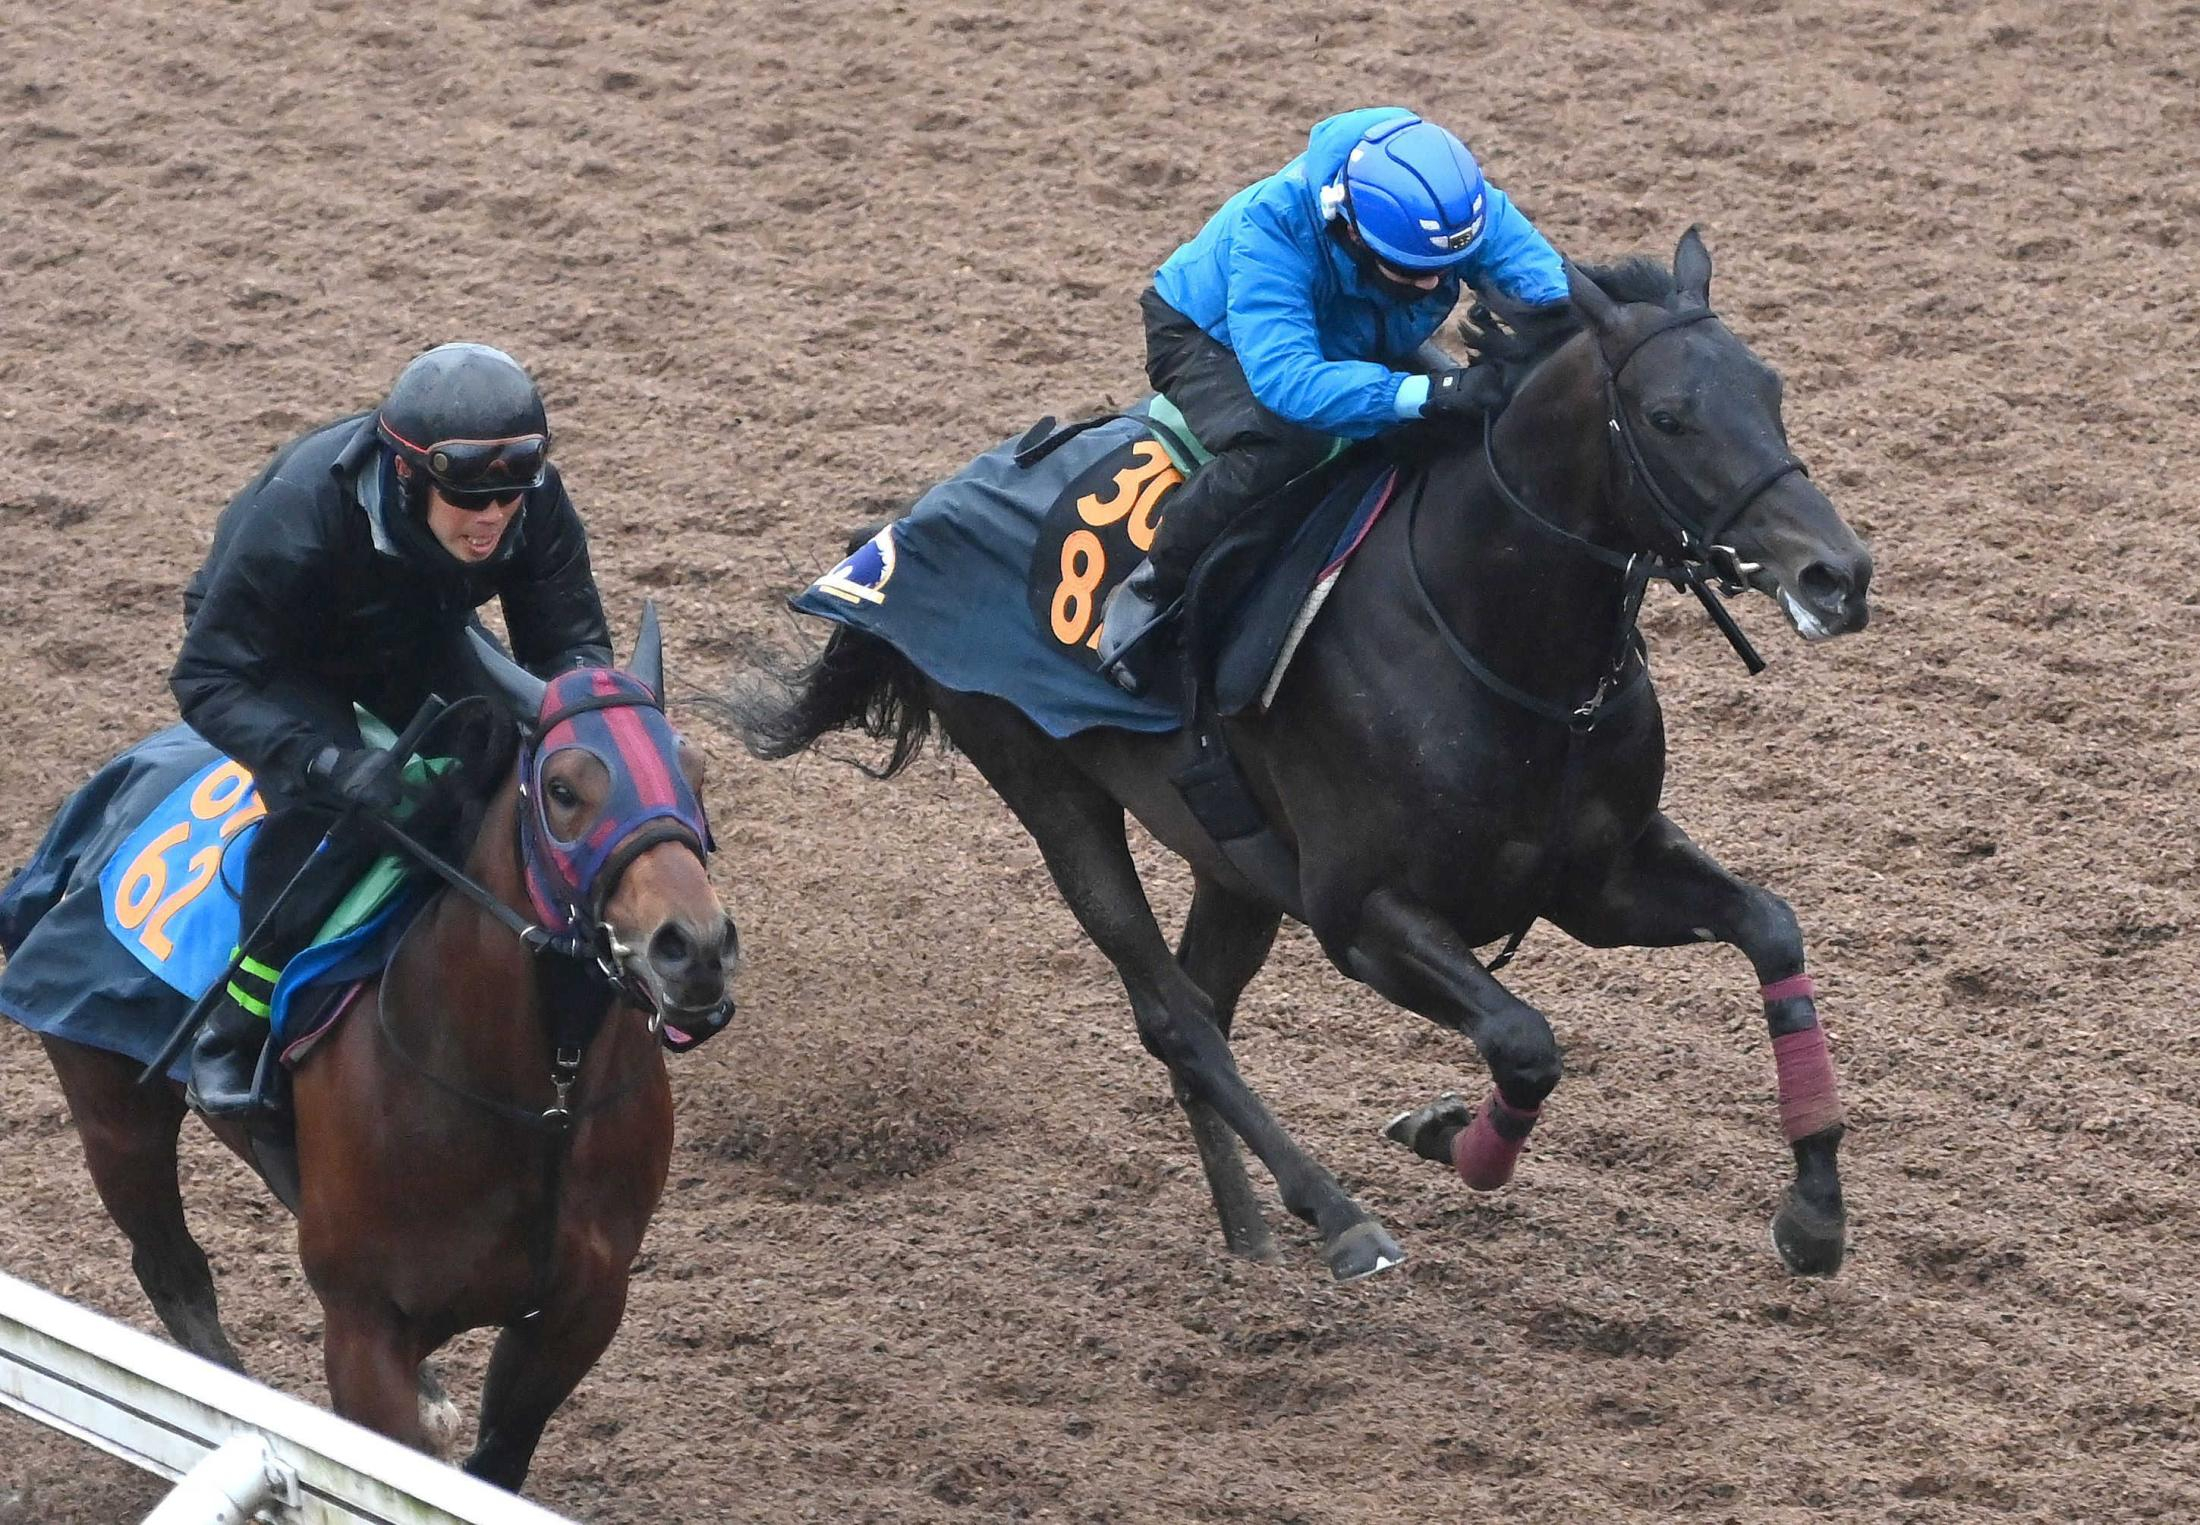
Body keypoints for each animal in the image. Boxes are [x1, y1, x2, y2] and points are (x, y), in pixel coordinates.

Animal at [34, 611, 734, 1487]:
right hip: (112, 1110)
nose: (694, 948)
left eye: (696, 771)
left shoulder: (578, 1312)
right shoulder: (364, 1329)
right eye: (565, 789)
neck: (541, 1100)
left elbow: (492, 1464)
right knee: (172, 1268)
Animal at [739, 235, 1874, 1285]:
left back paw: (1247, 1232)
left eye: (1772, 391)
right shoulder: (1360, 913)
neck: (1492, 638)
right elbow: (1524, 1042)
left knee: (1203, 1009)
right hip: (1049, 789)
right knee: (1177, 1019)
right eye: (1670, 415)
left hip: (1232, 864)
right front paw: (1448, 1138)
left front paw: (1814, 1216)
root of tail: (900, 527)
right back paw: (1338, 1217)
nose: (1838, 573)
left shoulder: (1597, 877)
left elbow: (1771, 928)